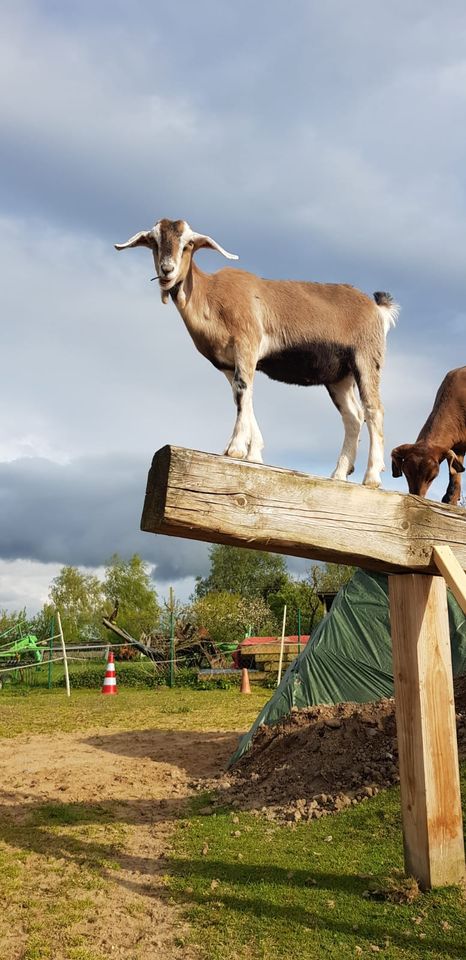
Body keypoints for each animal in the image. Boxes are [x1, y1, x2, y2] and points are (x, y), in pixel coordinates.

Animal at [115, 218, 396, 488]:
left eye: (188, 244)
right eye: (154, 241)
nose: (167, 270)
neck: (211, 296)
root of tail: (377, 309)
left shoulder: (246, 343)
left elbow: (243, 390)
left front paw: (235, 450)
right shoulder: (227, 363)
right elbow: (242, 394)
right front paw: (254, 454)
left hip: (366, 358)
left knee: (374, 410)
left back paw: (372, 477)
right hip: (339, 376)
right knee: (353, 416)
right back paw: (339, 474)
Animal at [390, 366, 466, 502]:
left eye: (432, 477)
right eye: (407, 473)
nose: (417, 496)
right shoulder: (458, 447)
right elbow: (455, 475)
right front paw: (450, 499)